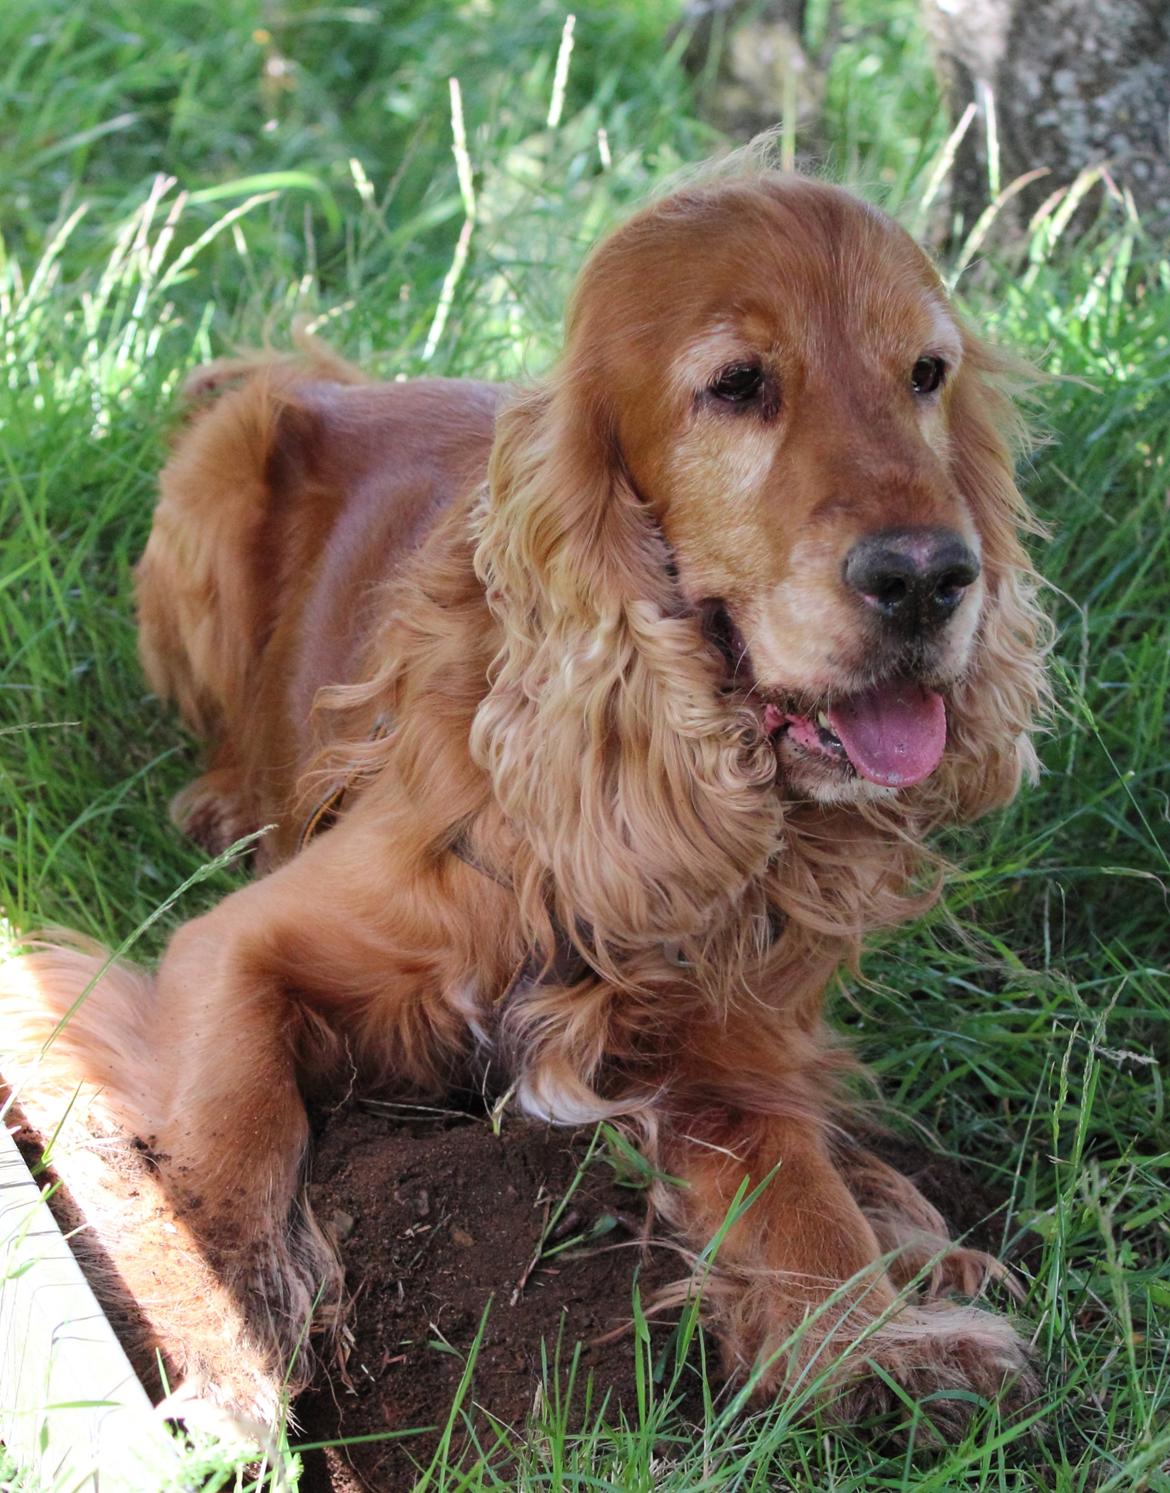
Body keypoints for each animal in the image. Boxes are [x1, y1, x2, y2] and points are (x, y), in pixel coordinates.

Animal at [2, 169, 1044, 1439]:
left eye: (928, 373)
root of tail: (341, 378)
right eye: (737, 384)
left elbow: (794, 1182)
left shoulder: (730, 1035)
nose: (931, 577)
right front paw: (228, 1346)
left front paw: (875, 1337)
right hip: (212, 477)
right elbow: (232, 1139)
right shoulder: (235, 946)